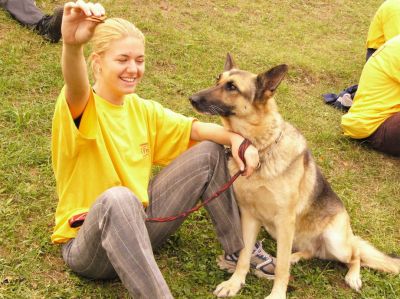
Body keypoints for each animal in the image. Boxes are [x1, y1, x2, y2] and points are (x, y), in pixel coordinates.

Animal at [188, 54, 400, 299]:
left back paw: (352, 276)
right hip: (281, 233)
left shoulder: (285, 220)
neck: (261, 149)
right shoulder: (250, 217)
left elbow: (280, 270)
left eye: (232, 87)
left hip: (335, 241)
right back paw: (294, 257)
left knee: (355, 254)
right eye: (218, 80)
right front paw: (235, 282)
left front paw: (277, 294)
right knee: (308, 251)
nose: (191, 98)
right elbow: (243, 255)